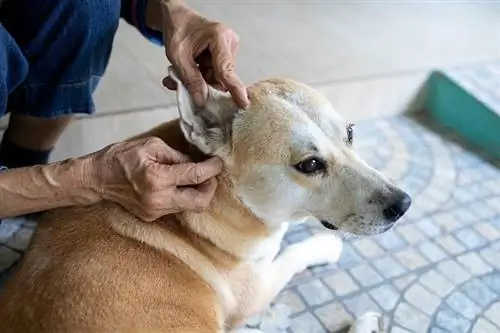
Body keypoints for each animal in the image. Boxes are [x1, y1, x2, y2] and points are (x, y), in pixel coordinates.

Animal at [0, 68, 410, 332]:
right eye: (309, 164)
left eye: (351, 133)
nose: (402, 205)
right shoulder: (256, 291)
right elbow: (295, 252)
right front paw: (326, 245)